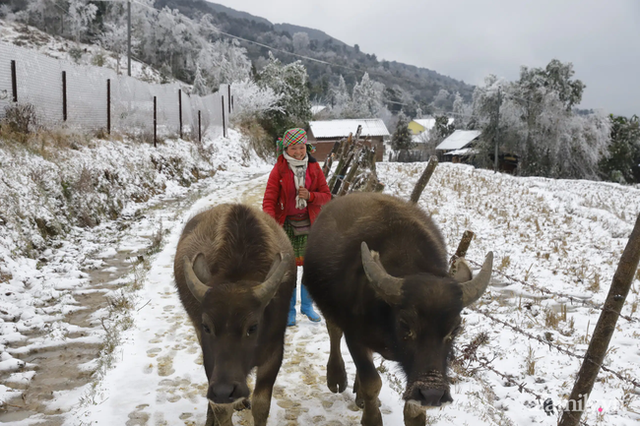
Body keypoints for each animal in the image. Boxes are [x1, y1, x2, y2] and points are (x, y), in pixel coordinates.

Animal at [174, 203, 296, 426]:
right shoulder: (211, 360)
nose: (224, 390)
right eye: (207, 326)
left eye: (253, 327)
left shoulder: (274, 354)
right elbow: (221, 409)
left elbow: (261, 405)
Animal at [302, 193, 492, 426]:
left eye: (455, 329)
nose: (432, 393)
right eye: (405, 324)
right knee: (334, 331)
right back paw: (337, 378)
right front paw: (372, 418)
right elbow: (372, 381)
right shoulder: (355, 337)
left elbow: (413, 411)